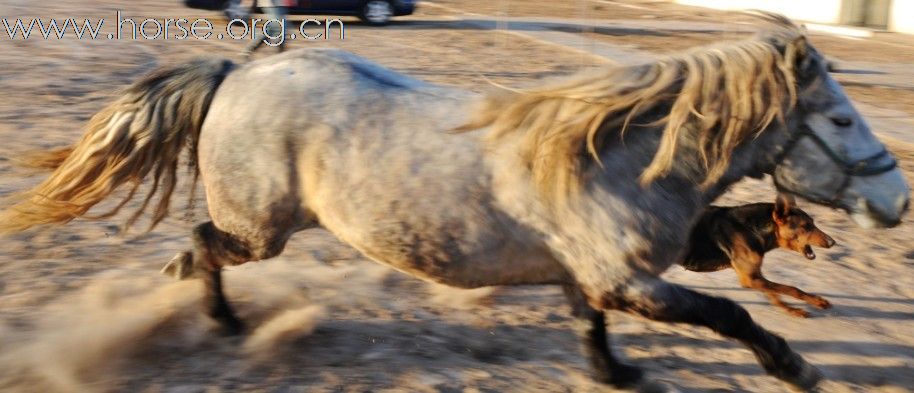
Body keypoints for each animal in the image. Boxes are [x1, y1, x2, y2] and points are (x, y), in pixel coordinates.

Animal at [684, 194, 832, 316]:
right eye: (805, 226)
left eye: (813, 222)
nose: (833, 242)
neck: (752, 229)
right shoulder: (750, 279)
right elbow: (792, 289)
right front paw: (816, 301)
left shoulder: (755, 276)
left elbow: (775, 295)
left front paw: (791, 310)